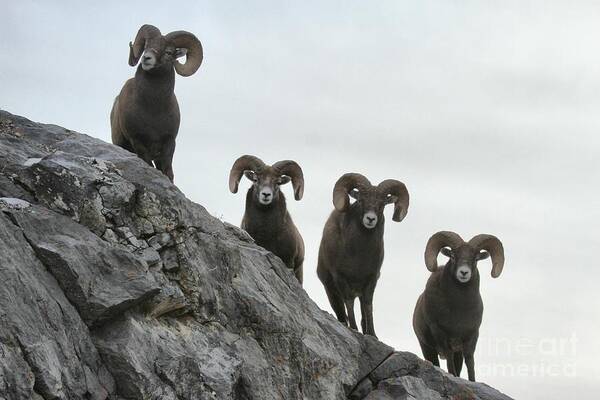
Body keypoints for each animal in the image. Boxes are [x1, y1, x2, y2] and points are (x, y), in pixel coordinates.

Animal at [108, 24, 202, 181]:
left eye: (169, 52)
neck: (153, 110)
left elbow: (168, 172)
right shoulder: (138, 142)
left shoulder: (169, 143)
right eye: (146, 46)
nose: (146, 58)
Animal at [318, 173, 408, 338]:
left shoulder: (371, 280)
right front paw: (353, 329)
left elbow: (368, 305)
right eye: (360, 200)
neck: (359, 256)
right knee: (342, 313)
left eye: (382, 204)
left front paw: (372, 334)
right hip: (332, 293)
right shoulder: (341, 279)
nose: (370, 219)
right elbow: (349, 303)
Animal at [412, 231, 506, 382]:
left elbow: (470, 361)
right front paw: (453, 376)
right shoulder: (440, 333)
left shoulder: (471, 336)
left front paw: (472, 381)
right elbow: (449, 359)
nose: (463, 272)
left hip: (457, 354)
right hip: (427, 349)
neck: (459, 309)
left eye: (476, 258)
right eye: (453, 255)